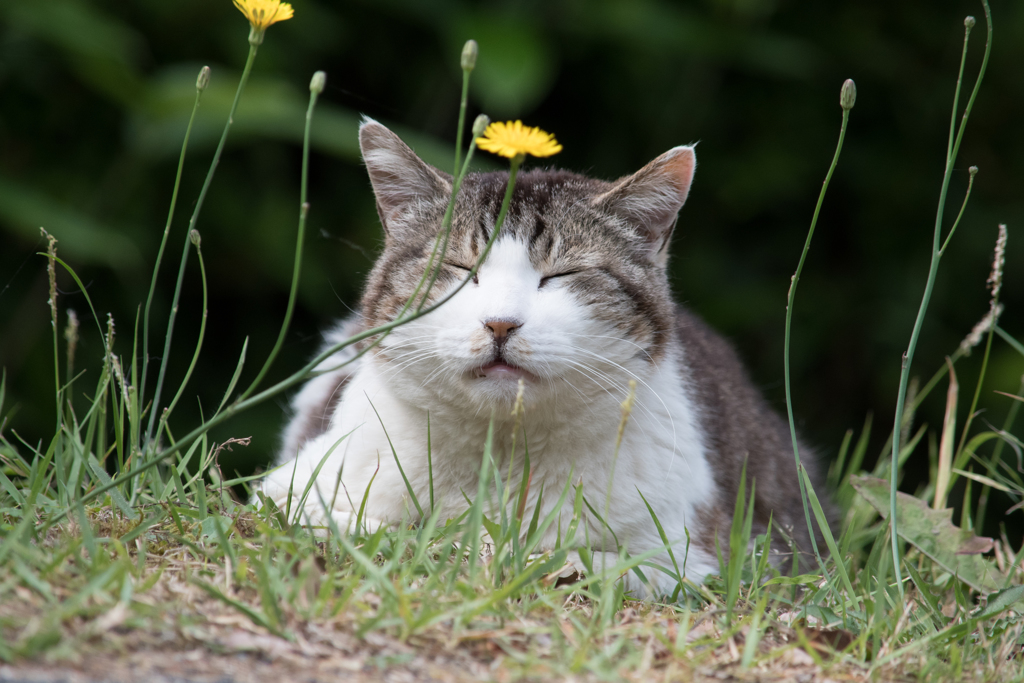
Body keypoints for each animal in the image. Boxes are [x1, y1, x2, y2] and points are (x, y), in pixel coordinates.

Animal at [260, 120, 827, 593]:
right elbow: (354, 524)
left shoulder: (697, 557)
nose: (500, 323)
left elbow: (572, 558)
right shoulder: (289, 487)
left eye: (561, 276)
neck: (505, 452)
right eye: (460, 268)